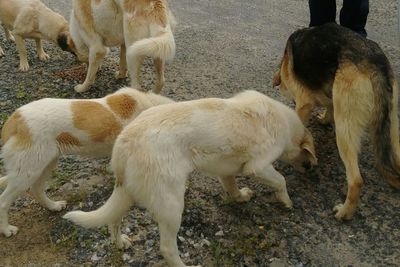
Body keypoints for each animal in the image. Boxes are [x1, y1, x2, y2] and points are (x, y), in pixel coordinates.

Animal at [0, 88, 173, 239]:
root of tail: (14, 120)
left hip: (45, 164)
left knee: (36, 189)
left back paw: (53, 206)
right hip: (27, 172)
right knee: (3, 201)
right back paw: (7, 230)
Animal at [64, 90, 318, 267]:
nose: (310, 171)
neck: (285, 122)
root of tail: (126, 140)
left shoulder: (226, 170)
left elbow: (232, 187)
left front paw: (241, 197)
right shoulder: (258, 166)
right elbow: (281, 180)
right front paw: (286, 201)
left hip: (126, 193)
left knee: (113, 221)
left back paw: (120, 243)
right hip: (171, 204)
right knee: (167, 248)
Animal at [274, 23, 400, 221]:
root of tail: (374, 62)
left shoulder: (304, 103)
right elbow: (329, 107)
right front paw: (324, 119)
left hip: (344, 130)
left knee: (356, 180)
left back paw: (344, 212)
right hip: (392, 125)